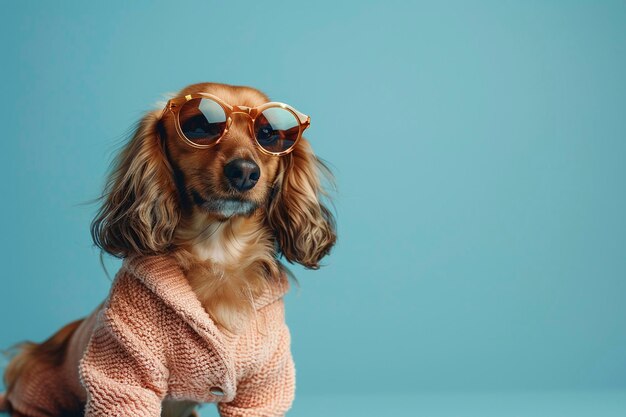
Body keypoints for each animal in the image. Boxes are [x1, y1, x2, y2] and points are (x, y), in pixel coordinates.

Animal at [1, 82, 336, 416]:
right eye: (200, 126)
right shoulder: (124, 369)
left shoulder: (263, 381)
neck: (218, 251)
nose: (244, 172)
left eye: (268, 134)